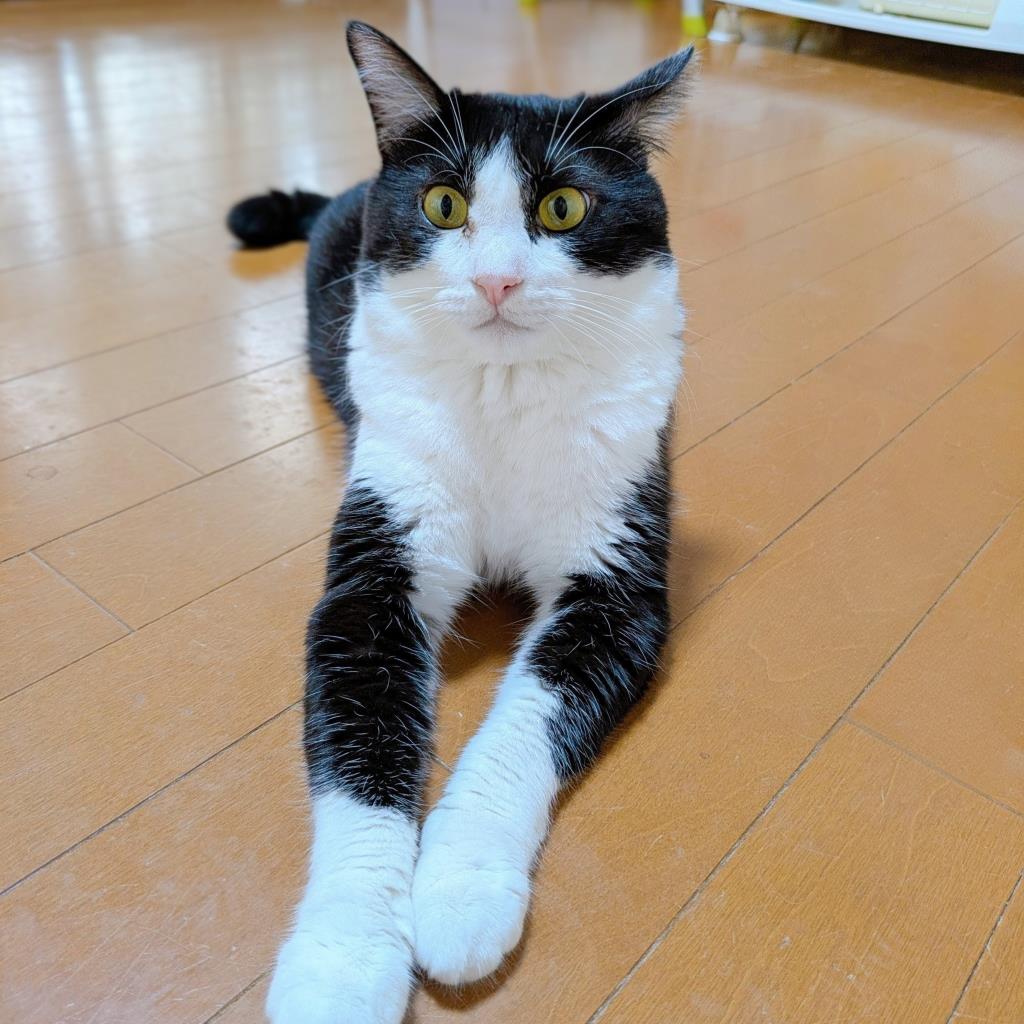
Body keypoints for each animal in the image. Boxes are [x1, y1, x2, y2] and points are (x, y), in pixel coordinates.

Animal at [227, 21, 693, 1024]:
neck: (503, 398)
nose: (497, 282)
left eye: (563, 207)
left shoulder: (617, 578)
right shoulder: (376, 567)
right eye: (444, 204)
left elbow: (523, 726)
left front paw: (460, 890)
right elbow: (360, 762)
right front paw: (343, 963)